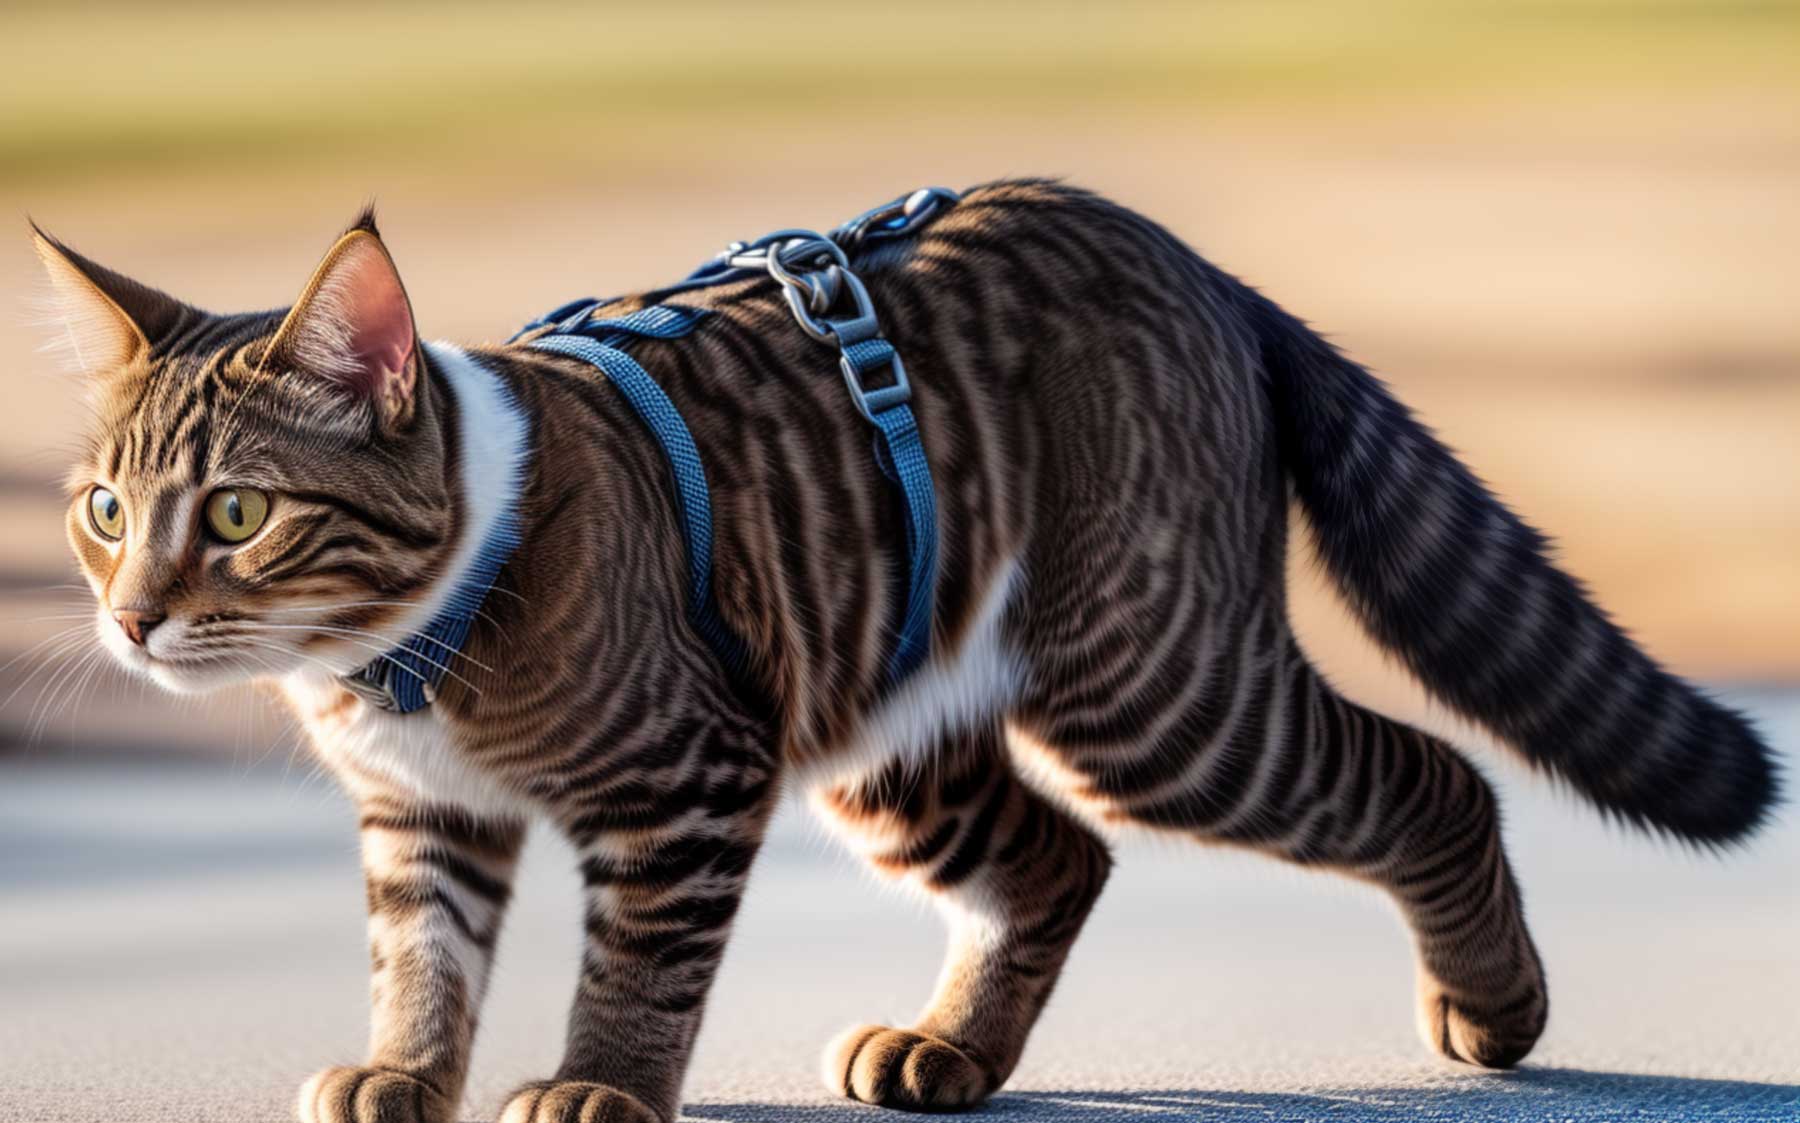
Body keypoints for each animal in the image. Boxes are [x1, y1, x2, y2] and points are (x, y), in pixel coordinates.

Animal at [35, 184, 1778, 1123]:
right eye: (106, 509)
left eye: (240, 511)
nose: (131, 615)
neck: (398, 653)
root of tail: (1198, 263)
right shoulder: (426, 817)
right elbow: (422, 959)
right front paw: (410, 1064)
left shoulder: (686, 776)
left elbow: (638, 964)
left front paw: (604, 1080)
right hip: (891, 732)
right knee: (1060, 857)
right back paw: (952, 1044)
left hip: (1157, 692)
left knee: (1434, 775)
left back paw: (1496, 995)